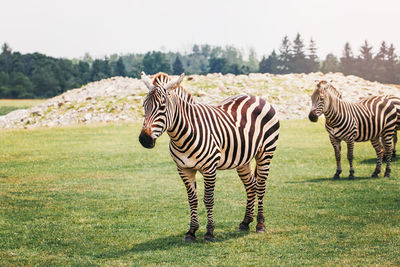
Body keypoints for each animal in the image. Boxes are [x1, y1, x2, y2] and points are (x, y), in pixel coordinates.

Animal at [138, 72, 278, 244]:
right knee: (251, 186)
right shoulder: (184, 169)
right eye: (144, 106)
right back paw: (245, 222)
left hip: (265, 153)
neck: (183, 134)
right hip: (243, 160)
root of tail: (257, 97)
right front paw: (191, 231)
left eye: (162, 107)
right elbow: (192, 199)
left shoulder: (209, 169)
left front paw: (209, 232)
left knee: (260, 186)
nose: (144, 139)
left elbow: (208, 199)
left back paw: (260, 224)